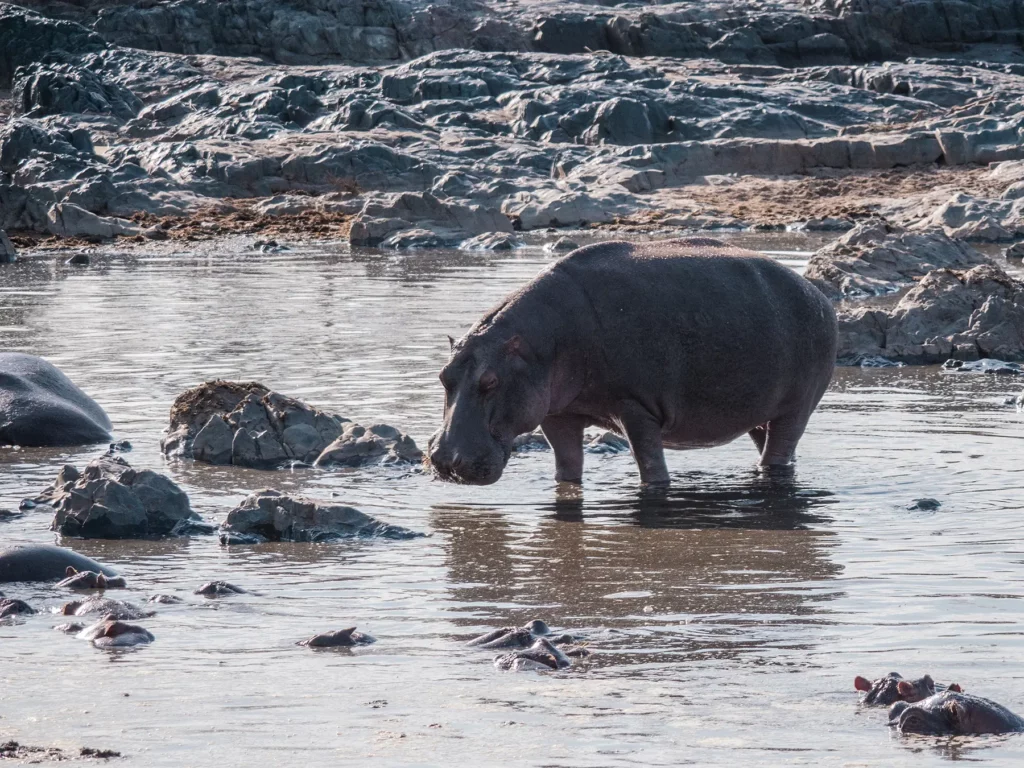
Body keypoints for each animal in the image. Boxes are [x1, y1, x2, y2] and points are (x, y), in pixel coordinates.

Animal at [428, 239, 837, 486]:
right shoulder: (558, 414)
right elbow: (567, 469)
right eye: (443, 376)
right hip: (755, 411)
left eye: (490, 382)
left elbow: (652, 470)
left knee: (779, 450)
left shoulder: (636, 407)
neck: (540, 344)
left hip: (796, 407)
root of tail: (817, 293)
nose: (445, 460)